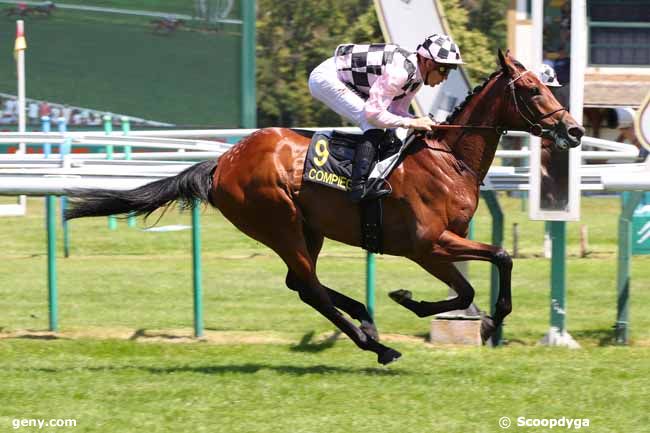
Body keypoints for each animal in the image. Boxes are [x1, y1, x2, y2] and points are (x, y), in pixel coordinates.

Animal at [64, 50, 584, 364]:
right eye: (533, 90)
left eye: (550, 86)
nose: (574, 130)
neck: (447, 158)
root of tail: (223, 161)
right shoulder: (428, 245)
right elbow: (491, 265)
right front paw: (464, 314)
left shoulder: (439, 245)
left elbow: (476, 280)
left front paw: (422, 305)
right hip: (279, 223)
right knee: (310, 288)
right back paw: (376, 346)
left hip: (307, 229)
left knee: (303, 283)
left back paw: (366, 319)